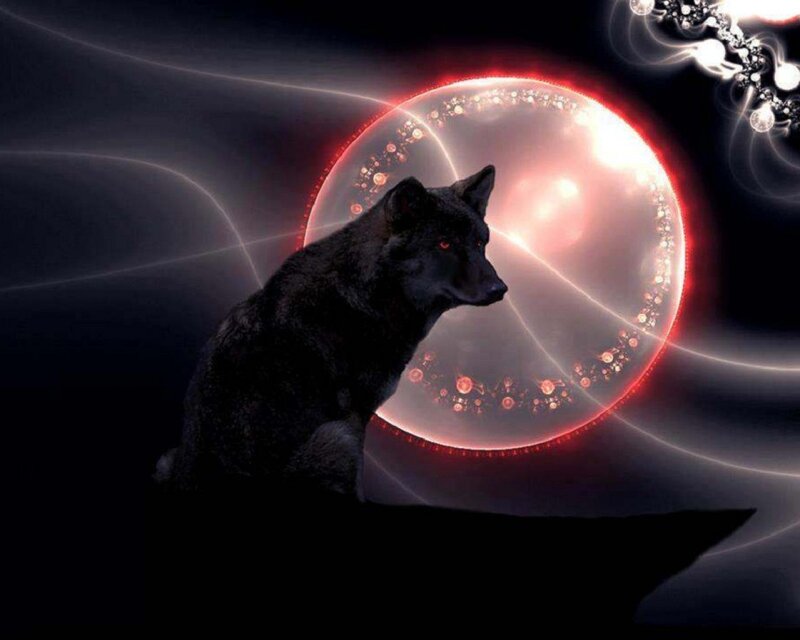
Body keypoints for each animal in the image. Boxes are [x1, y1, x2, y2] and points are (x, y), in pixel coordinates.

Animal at [156, 165, 506, 500]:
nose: (500, 289)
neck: (370, 291)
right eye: (444, 244)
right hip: (335, 437)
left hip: (166, 460)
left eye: (480, 244)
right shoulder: (353, 419)